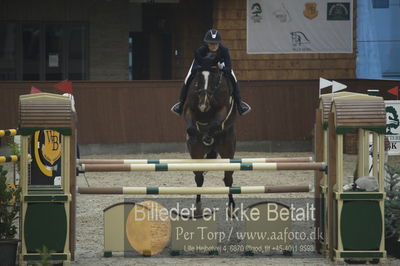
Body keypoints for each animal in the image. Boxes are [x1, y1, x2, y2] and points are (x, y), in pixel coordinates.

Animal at [184, 66, 238, 216]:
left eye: (214, 80)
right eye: (198, 80)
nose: (203, 105)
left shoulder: (223, 108)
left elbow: (216, 123)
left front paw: (208, 136)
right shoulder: (189, 107)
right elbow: (191, 126)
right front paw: (197, 134)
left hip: (227, 150)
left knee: (228, 179)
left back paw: (232, 208)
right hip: (197, 155)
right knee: (199, 178)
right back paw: (198, 208)